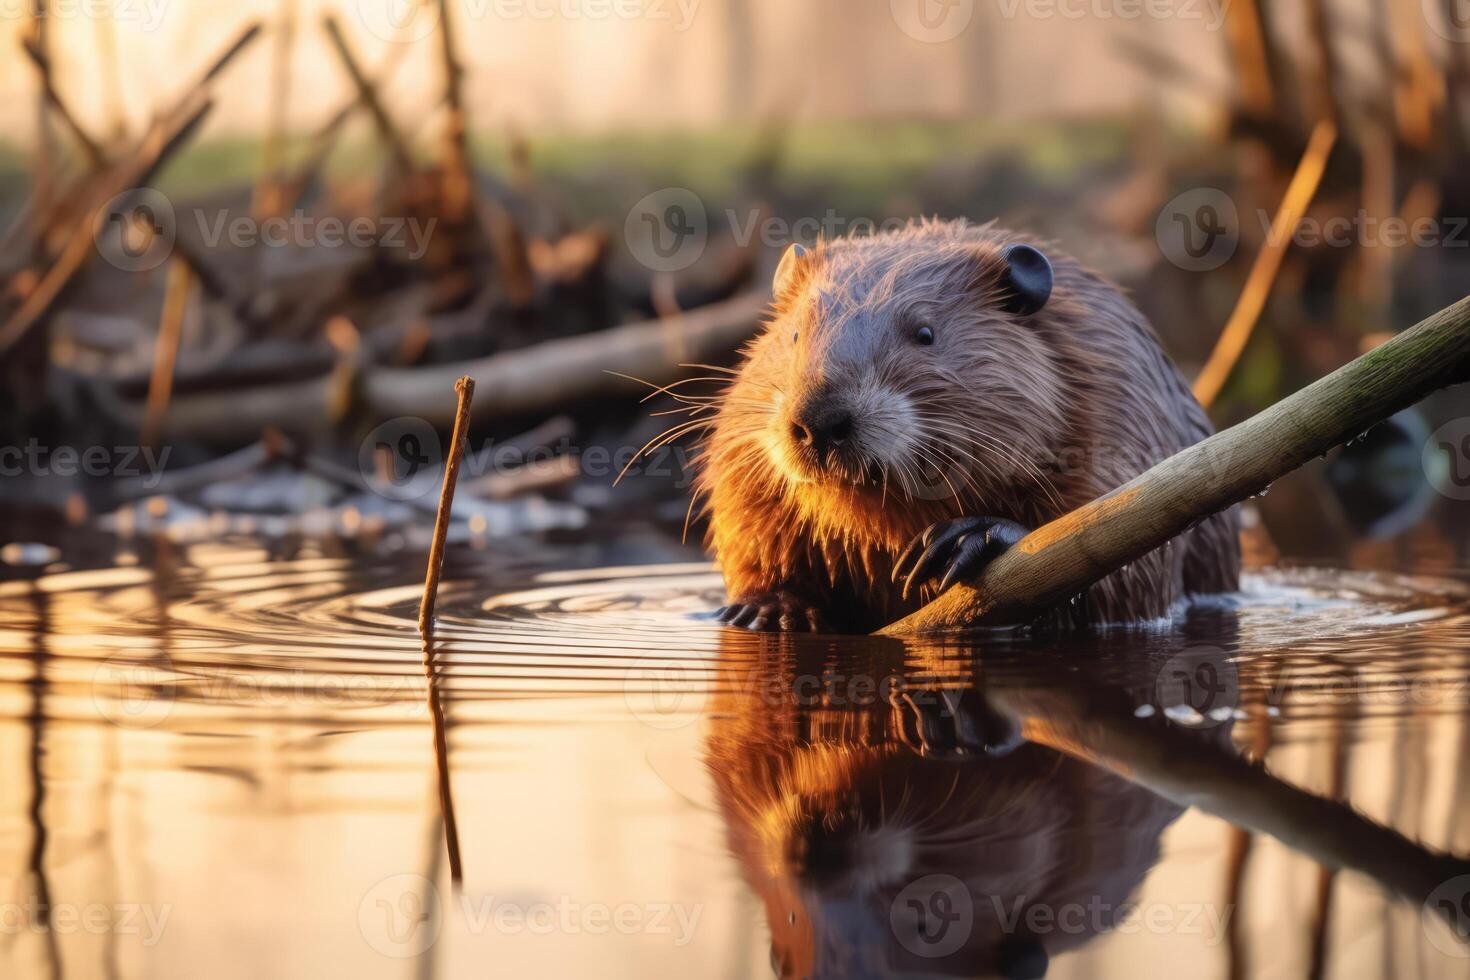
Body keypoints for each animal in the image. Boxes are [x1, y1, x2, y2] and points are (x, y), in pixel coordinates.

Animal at [699, 217, 1240, 631]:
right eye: (793, 333)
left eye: (924, 333)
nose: (819, 420)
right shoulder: (744, 448)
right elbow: (749, 522)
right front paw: (764, 609)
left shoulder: (1121, 395)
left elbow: (1132, 572)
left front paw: (965, 539)